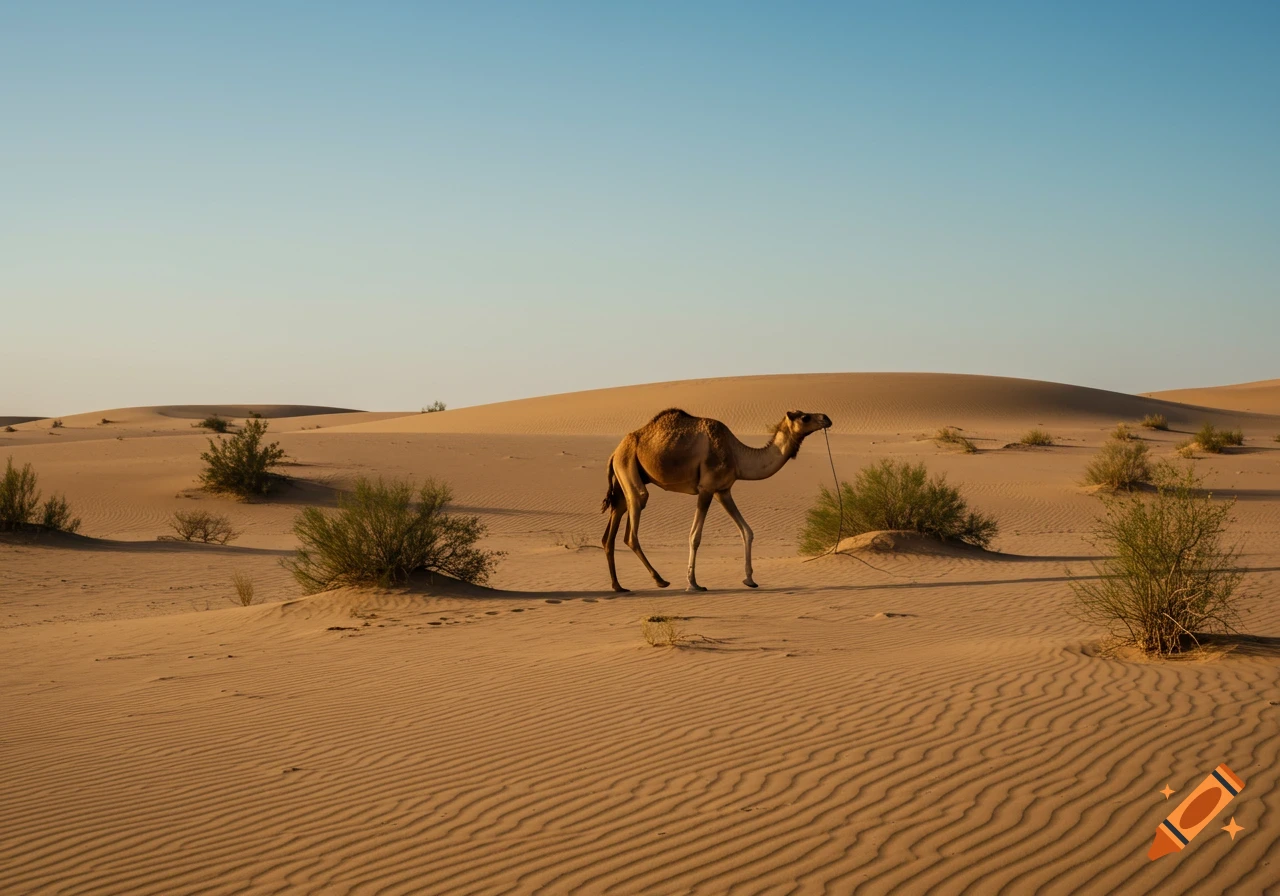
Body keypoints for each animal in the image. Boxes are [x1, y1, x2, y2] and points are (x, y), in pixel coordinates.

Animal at [600, 408, 833, 592]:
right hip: (628, 467)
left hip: (624, 477)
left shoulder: (723, 491)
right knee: (632, 529)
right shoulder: (706, 488)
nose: (826, 418)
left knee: (612, 527)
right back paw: (660, 580)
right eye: (805, 417)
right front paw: (693, 584)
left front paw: (750, 579)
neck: (737, 455)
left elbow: (747, 531)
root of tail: (614, 453)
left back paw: (619, 586)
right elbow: (695, 536)